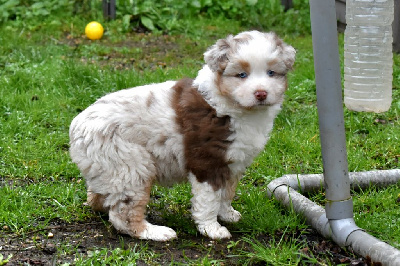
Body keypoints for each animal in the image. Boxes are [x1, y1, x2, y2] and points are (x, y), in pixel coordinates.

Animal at [69, 30, 296, 241]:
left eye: (271, 72)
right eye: (242, 75)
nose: (261, 93)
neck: (234, 107)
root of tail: (77, 127)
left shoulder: (233, 163)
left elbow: (226, 193)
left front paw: (228, 215)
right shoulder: (207, 162)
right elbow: (209, 200)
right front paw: (212, 229)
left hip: (107, 168)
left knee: (100, 196)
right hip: (131, 166)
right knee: (123, 215)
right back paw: (157, 232)